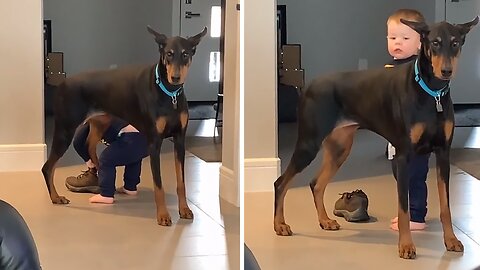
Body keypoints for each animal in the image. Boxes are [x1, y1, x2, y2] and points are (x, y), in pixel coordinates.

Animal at [41, 25, 206, 226]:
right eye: (168, 54)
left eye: (185, 54)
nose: (175, 77)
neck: (170, 93)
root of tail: (62, 83)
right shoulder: (154, 142)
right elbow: (158, 184)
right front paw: (163, 215)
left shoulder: (180, 139)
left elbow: (181, 182)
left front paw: (184, 209)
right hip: (65, 129)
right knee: (48, 167)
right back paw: (56, 197)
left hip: (101, 121)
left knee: (89, 145)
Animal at [272, 17, 478, 260]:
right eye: (435, 42)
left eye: (455, 43)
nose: (446, 71)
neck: (432, 92)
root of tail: (310, 85)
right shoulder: (403, 156)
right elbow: (403, 208)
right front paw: (406, 246)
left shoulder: (443, 153)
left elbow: (446, 206)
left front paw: (451, 240)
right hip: (309, 143)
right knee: (280, 183)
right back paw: (279, 225)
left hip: (340, 148)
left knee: (316, 183)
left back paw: (325, 220)